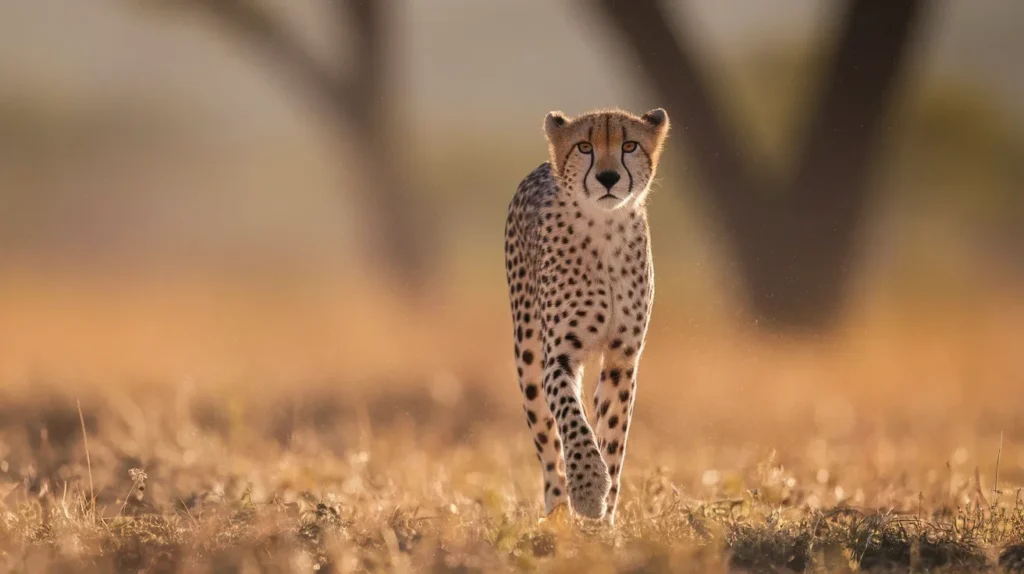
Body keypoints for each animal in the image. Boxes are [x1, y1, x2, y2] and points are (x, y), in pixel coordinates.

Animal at [504, 107, 670, 524]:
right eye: (584, 147)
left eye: (629, 145)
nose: (608, 178)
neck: (606, 227)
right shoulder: (560, 356)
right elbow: (571, 418)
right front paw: (588, 487)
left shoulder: (623, 358)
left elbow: (612, 432)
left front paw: (604, 517)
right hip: (527, 358)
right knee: (548, 446)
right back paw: (557, 511)